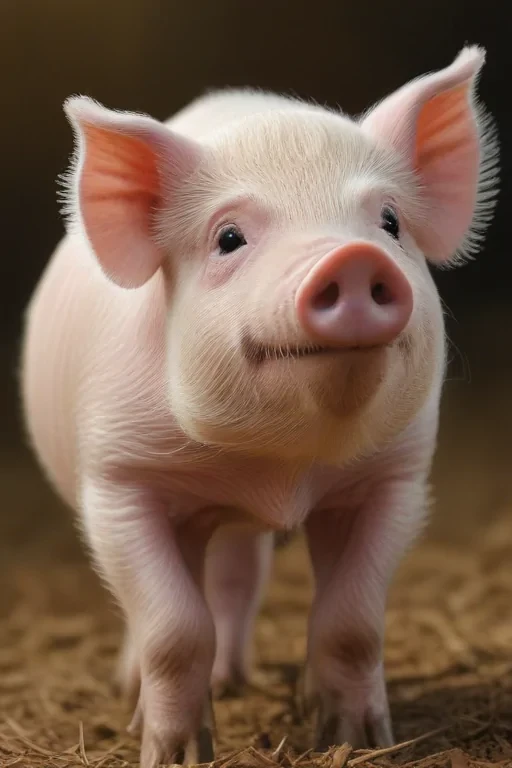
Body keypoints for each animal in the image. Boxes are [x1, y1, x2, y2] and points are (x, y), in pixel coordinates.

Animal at [20, 45, 498, 767]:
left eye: (389, 222)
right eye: (228, 238)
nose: (352, 257)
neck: (279, 467)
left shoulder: (396, 478)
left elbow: (354, 621)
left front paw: (354, 738)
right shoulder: (119, 480)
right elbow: (173, 628)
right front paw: (175, 754)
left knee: (239, 575)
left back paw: (239, 680)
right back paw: (140, 697)